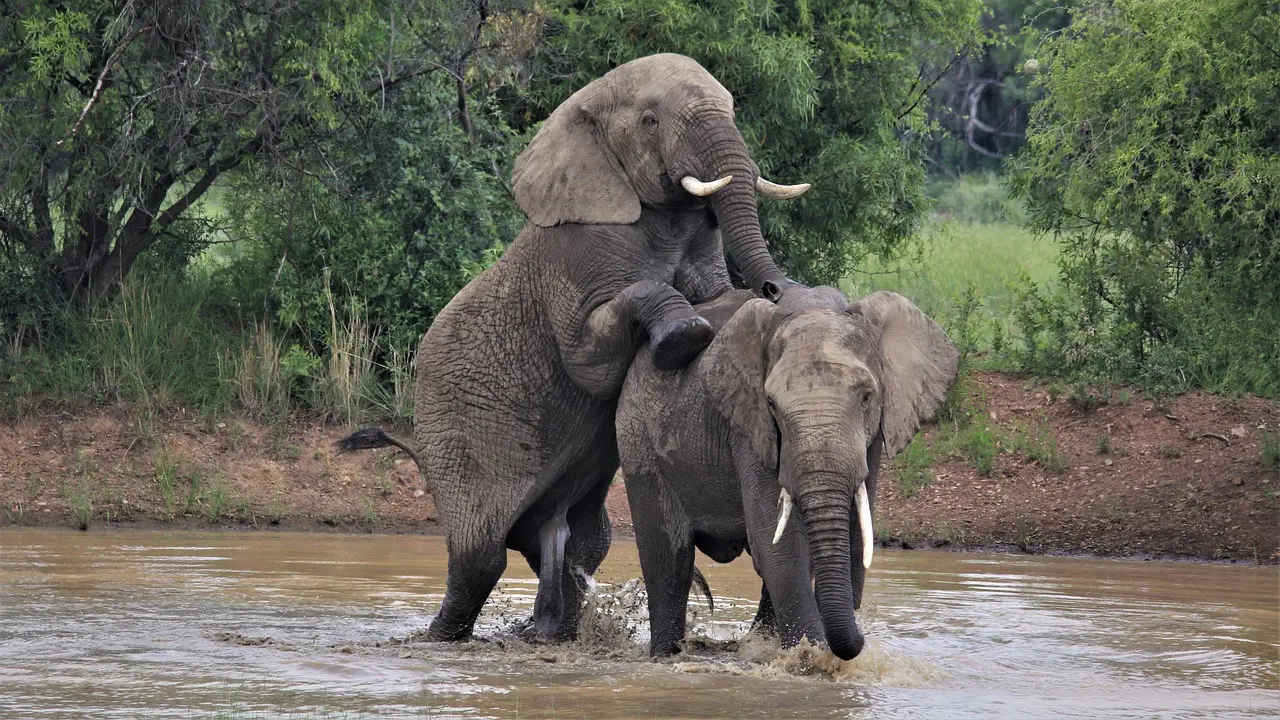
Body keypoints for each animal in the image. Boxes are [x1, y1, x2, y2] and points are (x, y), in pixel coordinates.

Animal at [332, 53, 808, 640]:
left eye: (733, 110)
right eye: (650, 120)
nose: (776, 289)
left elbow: (716, 297)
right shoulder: (574, 255)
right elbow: (589, 362)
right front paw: (684, 335)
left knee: (581, 542)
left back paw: (554, 631)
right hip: (451, 437)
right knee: (478, 556)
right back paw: (442, 638)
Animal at [614, 284, 957, 655]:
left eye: (867, 396)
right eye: (772, 405)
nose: (861, 638)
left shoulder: (873, 440)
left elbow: (854, 537)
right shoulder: (750, 427)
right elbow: (779, 546)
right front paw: (812, 658)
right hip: (637, 437)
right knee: (669, 558)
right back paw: (666, 656)